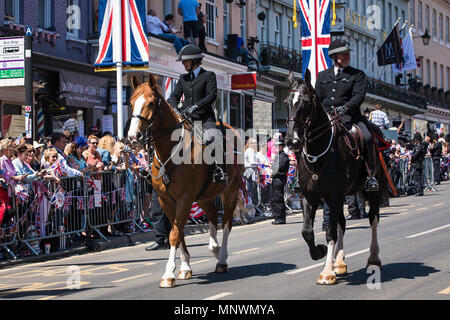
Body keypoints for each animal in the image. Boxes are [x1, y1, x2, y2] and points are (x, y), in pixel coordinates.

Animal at [127, 74, 246, 288]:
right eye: (131, 102)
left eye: (150, 103)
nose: (133, 137)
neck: (171, 151)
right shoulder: (167, 200)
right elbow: (179, 230)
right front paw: (184, 268)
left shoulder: (184, 198)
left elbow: (174, 233)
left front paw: (168, 274)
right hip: (203, 195)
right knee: (212, 214)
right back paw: (214, 247)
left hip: (230, 191)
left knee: (226, 222)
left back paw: (222, 259)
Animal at [286, 70, 384, 284]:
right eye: (287, 102)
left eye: (306, 103)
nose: (292, 141)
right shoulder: (310, 197)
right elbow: (307, 232)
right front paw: (321, 253)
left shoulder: (334, 196)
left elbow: (330, 232)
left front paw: (326, 272)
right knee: (342, 224)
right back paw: (339, 262)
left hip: (371, 189)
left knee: (373, 219)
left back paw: (373, 258)